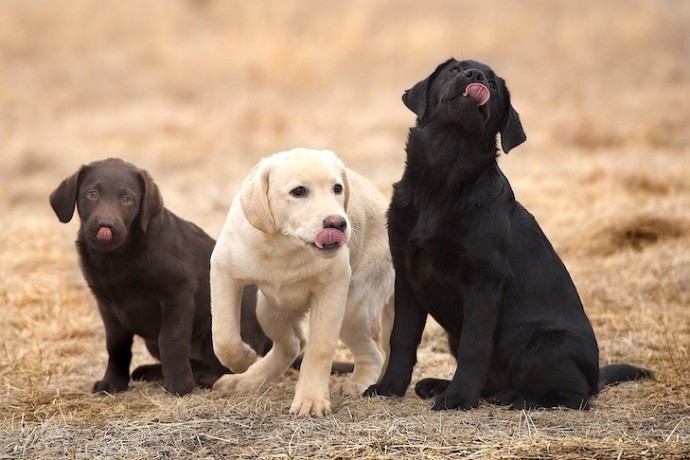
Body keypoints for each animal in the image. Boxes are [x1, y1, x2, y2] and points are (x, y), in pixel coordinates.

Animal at [48, 157, 268, 396]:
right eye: (92, 194)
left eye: (128, 199)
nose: (105, 225)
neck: (119, 255)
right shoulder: (106, 303)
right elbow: (116, 345)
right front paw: (113, 382)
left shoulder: (178, 293)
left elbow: (171, 339)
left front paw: (179, 386)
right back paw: (151, 372)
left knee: (231, 365)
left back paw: (203, 377)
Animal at [210, 147, 392, 416]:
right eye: (298, 192)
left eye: (337, 188)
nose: (337, 223)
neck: (285, 248)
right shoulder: (223, 271)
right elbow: (224, 337)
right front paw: (243, 359)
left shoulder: (334, 286)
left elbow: (320, 348)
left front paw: (311, 399)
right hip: (270, 310)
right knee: (292, 344)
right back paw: (247, 379)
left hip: (353, 311)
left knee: (375, 354)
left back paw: (357, 383)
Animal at [362, 58, 648, 410]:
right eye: (454, 70)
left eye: (493, 86)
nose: (475, 76)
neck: (442, 181)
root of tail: (594, 377)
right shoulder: (406, 274)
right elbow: (401, 338)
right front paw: (389, 387)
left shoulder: (485, 281)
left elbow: (474, 347)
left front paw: (458, 398)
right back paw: (438, 384)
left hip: (541, 344)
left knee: (575, 396)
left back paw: (514, 397)